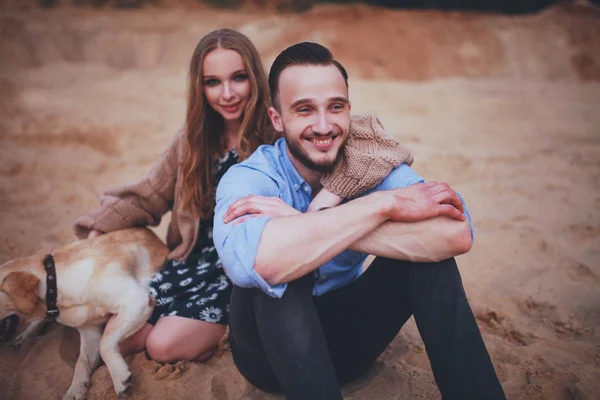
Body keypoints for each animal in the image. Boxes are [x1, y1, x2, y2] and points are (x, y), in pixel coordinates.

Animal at [0, 228, 169, 400]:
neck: (55, 285)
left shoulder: (136, 299)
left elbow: (105, 342)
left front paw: (118, 376)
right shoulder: (90, 333)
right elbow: (81, 362)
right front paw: (75, 389)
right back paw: (24, 336)